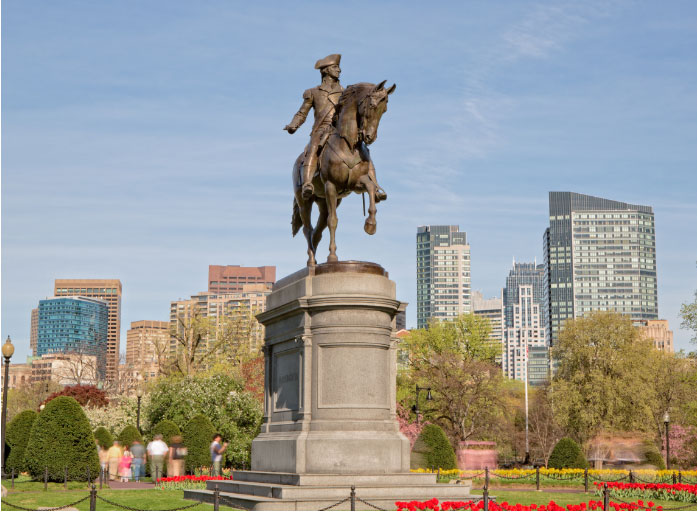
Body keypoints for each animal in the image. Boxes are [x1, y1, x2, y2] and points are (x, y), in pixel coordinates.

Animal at [290, 80, 394, 266]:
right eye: (372, 105)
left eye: (385, 110)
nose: (370, 137)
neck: (349, 145)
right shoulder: (331, 186)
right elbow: (333, 221)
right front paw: (332, 257)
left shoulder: (356, 183)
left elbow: (370, 188)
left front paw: (370, 224)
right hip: (304, 201)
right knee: (308, 228)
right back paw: (311, 261)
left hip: (324, 201)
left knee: (318, 230)